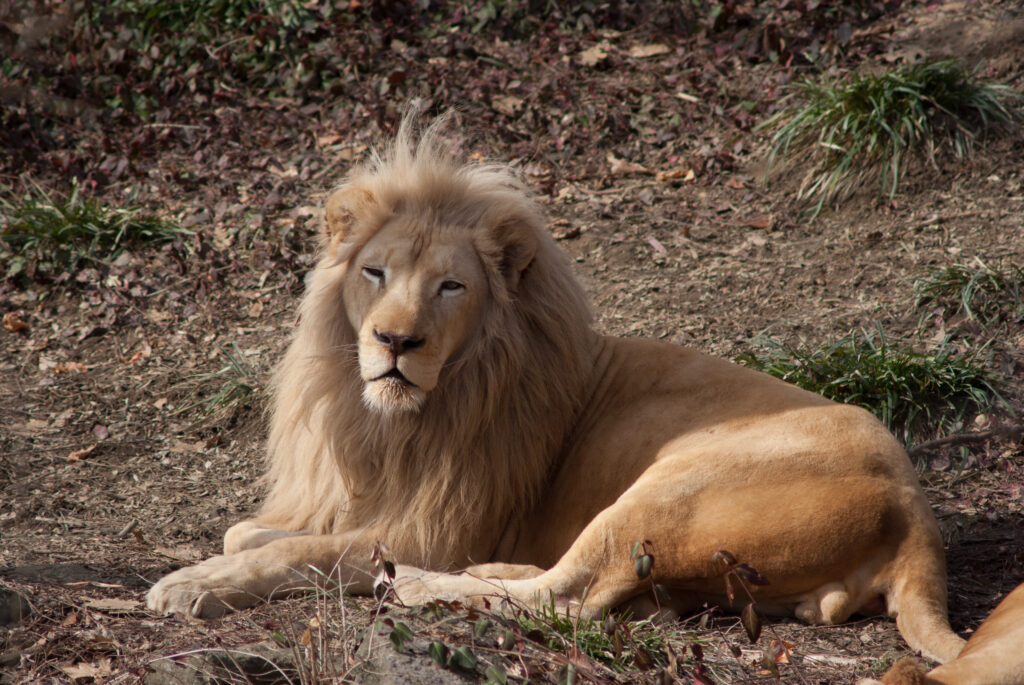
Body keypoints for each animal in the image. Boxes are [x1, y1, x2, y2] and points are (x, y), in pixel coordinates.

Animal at [146, 114, 966, 665]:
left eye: (450, 287)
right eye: (375, 272)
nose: (395, 342)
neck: (390, 421)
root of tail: (916, 517)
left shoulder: (437, 524)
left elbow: (292, 554)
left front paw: (189, 584)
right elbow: (253, 533)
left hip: (666, 490)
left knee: (566, 599)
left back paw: (413, 585)